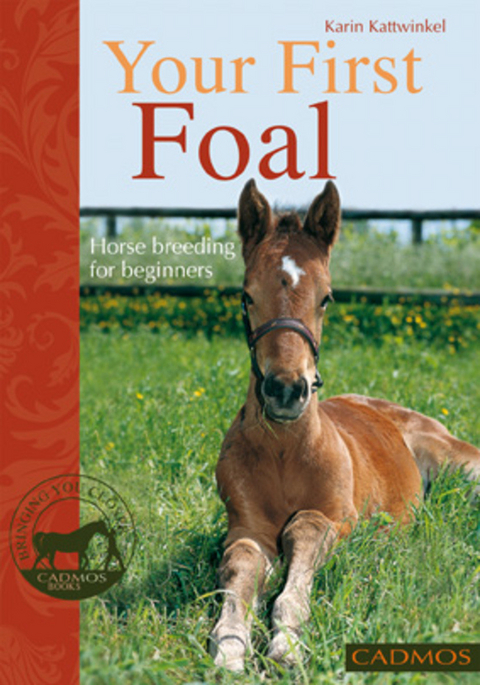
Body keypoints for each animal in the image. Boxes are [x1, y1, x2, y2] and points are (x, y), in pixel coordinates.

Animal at [209, 180, 480, 671]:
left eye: (327, 297)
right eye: (246, 295)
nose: (285, 391)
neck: (284, 451)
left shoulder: (337, 518)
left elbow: (304, 533)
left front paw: (286, 644)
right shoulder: (244, 527)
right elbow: (240, 568)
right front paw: (230, 648)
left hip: (465, 469)